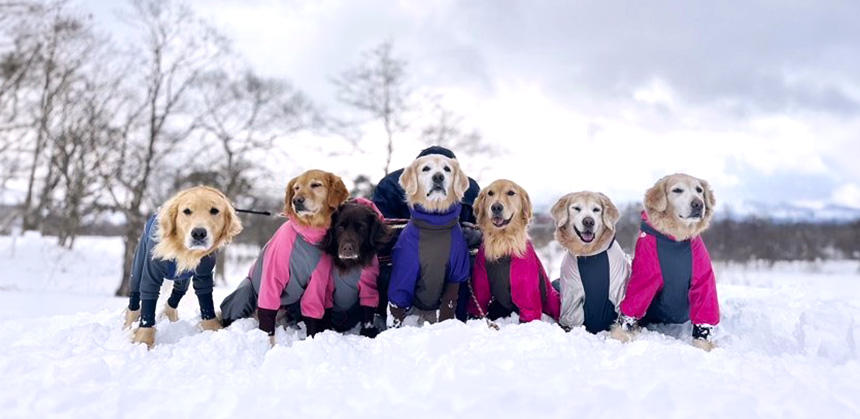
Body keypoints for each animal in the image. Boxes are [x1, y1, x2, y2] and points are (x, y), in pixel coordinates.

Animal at [552, 192, 632, 334]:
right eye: (576, 208)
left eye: (596, 210)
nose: (588, 221)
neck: (590, 255)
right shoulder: (571, 300)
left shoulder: (619, 293)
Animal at [608, 172, 724, 352]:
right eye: (677, 190)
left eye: (699, 190)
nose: (698, 204)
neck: (675, 241)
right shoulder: (643, 278)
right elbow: (631, 308)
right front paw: (620, 336)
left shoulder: (704, 280)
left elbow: (705, 314)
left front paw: (703, 346)